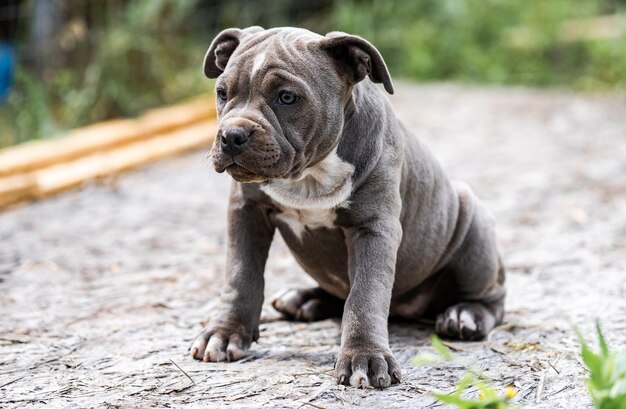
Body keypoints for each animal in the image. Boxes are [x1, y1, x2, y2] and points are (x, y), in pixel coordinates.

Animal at [189, 26, 502, 388]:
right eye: (222, 93)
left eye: (287, 97)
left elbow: (365, 294)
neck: (309, 175)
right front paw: (225, 333)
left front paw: (364, 357)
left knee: (493, 297)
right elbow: (241, 275)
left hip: (473, 227)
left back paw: (465, 315)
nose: (231, 135)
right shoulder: (245, 211)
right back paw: (305, 299)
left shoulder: (373, 228)